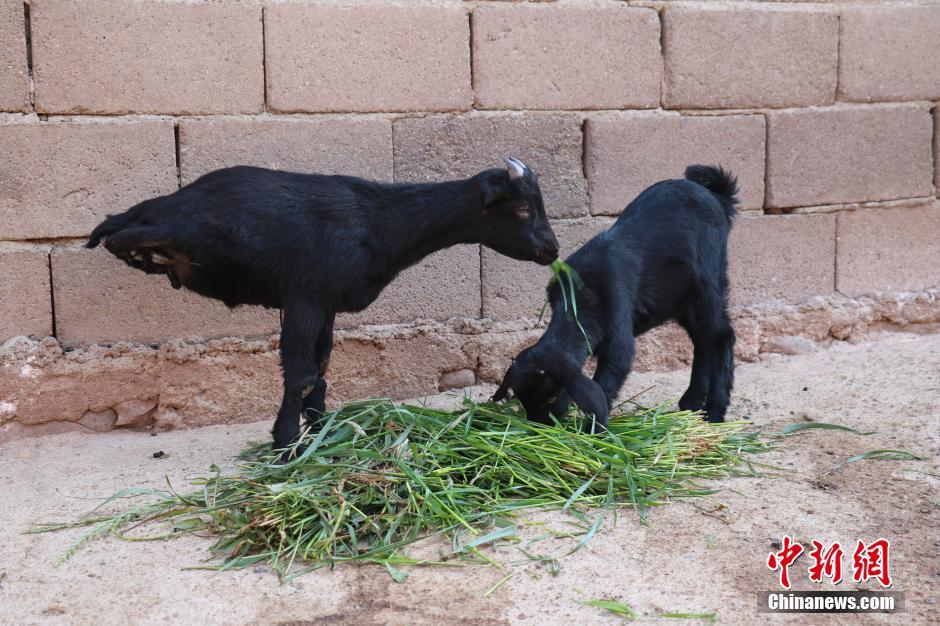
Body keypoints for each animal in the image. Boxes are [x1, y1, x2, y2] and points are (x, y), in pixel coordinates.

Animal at [88, 156, 560, 448]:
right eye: (522, 209)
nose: (552, 249)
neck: (379, 222)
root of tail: (169, 202)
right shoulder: (304, 297)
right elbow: (299, 374)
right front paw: (285, 445)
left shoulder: (328, 303)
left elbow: (322, 367)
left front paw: (319, 430)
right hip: (189, 227)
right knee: (119, 234)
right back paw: (137, 249)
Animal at [492, 163, 740, 432]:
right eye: (521, 398)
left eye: (552, 397)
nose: (541, 426)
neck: (577, 305)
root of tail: (717, 197)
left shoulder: (618, 334)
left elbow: (607, 382)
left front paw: (594, 431)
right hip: (681, 300)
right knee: (702, 341)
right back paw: (691, 403)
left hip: (708, 284)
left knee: (721, 337)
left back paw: (715, 412)